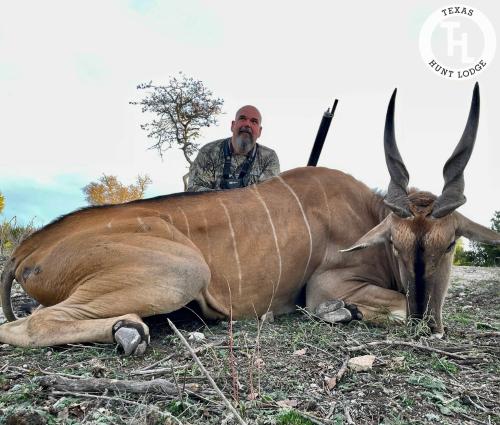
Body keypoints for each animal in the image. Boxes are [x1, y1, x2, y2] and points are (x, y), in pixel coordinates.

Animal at [1, 83, 498, 354]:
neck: (364, 213)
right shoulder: (325, 286)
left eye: (450, 243)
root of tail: (27, 248)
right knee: (27, 325)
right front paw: (344, 313)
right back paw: (129, 332)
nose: (425, 320)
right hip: (183, 271)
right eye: (394, 243)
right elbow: (373, 306)